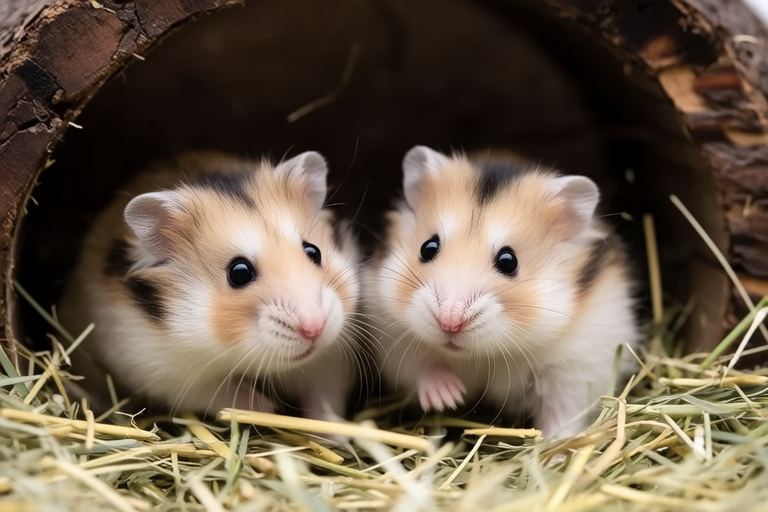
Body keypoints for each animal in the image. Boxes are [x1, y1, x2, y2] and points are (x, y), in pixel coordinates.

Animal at [58, 151, 362, 423]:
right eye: (239, 273)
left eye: (314, 252)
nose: (315, 328)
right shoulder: (161, 368)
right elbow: (222, 393)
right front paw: (269, 409)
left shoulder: (330, 359)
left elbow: (324, 397)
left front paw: (333, 434)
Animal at [365, 145, 639, 438]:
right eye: (427, 247)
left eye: (509, 261)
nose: (450, 323)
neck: (485, 354)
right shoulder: (396, 341)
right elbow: (425, 367)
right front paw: (450, 397)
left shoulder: (576, 368)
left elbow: (563, 413)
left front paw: (554, 444)